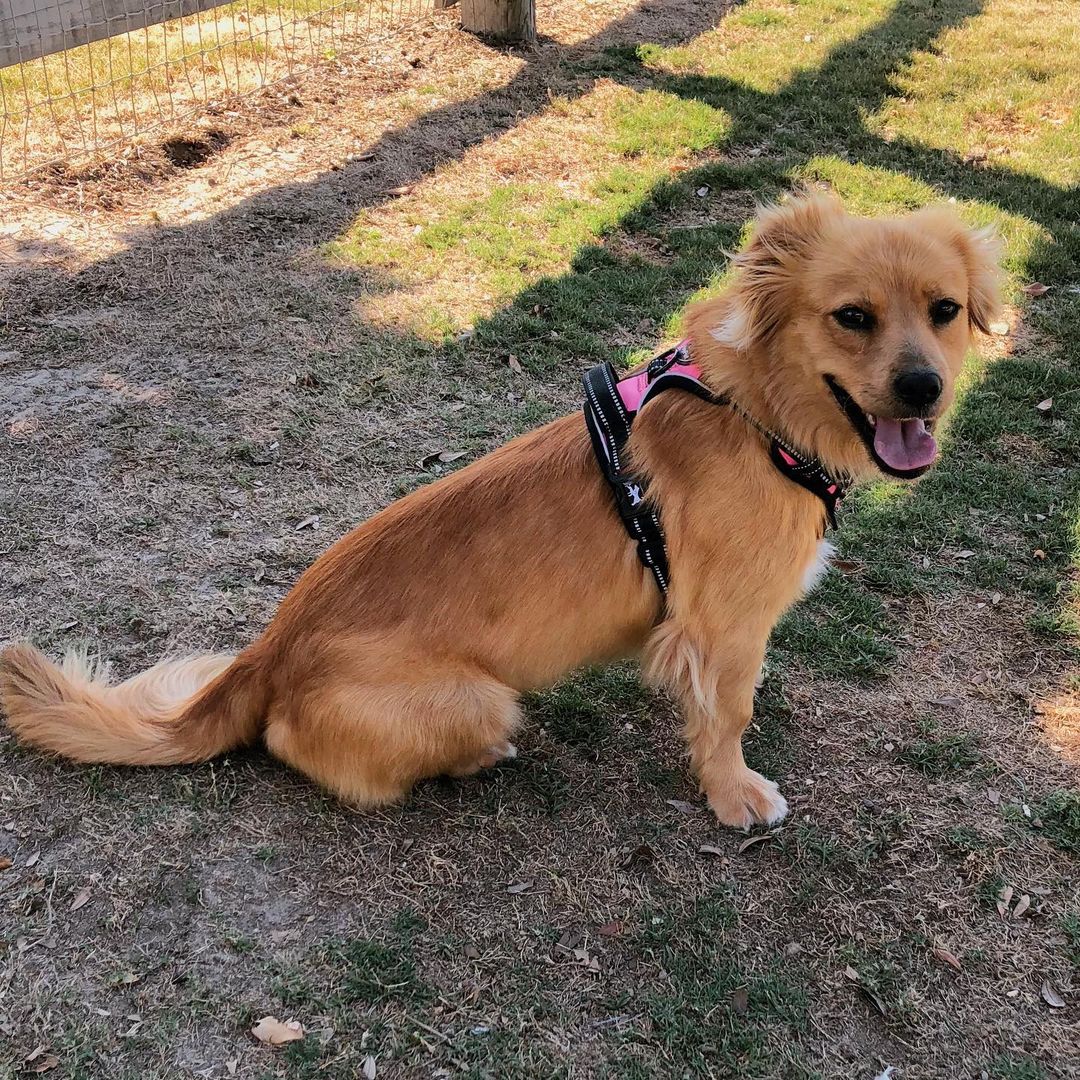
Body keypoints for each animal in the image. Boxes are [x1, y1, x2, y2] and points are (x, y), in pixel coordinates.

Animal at [0, 196, 997, 825]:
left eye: (945, 310)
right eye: (851, 316)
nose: (925, 389)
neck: (757, 413)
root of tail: (266, 655)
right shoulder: (721, 628)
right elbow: (727, 719)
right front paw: (735, 796)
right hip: (485, 699)